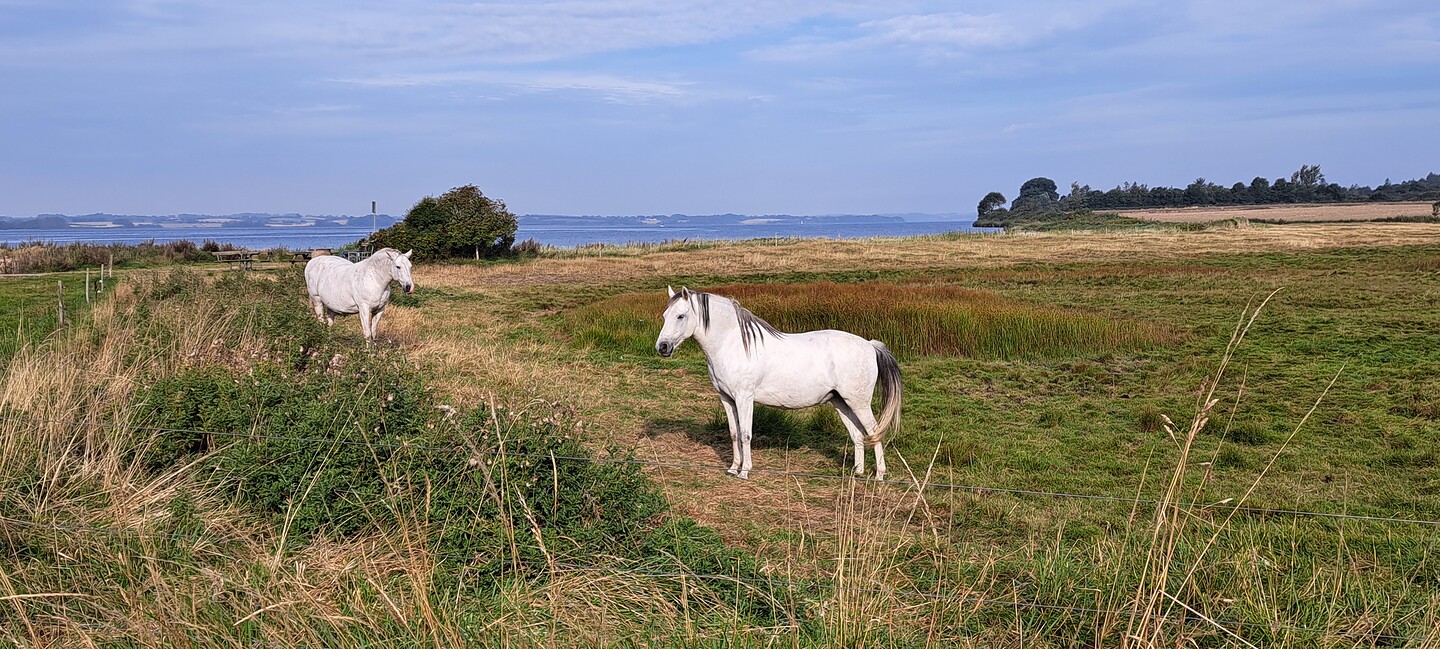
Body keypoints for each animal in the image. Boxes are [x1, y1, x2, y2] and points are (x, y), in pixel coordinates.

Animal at [654, 286, 902, 480]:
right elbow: (734, 433)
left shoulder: (744, 398)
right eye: (665, 315)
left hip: (859, 403)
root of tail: (869, 345)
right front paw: (733, 468)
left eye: (681, 316)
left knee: (874, 431)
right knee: (857, 435)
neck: (733, 344)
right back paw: (857, 472)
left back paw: (879, 475)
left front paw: (745, 471)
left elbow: (745, 433)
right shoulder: (727, 399)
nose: (662, 347)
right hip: (841, 403)